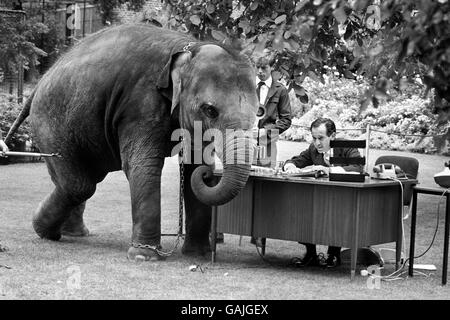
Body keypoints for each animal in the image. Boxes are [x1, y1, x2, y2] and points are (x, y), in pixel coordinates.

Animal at [7, 24, 258, 260]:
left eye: (258, 113)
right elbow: (144, 165)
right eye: (210, 110)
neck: (187, 47)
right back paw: (44, 230)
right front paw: (144, 256)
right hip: (50, 124)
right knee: (78, 184)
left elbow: (193, 166)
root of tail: (38, 84)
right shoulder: (140, 103)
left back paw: (73, 233)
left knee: (78, 180)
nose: (209, 176)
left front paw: (198, 255)